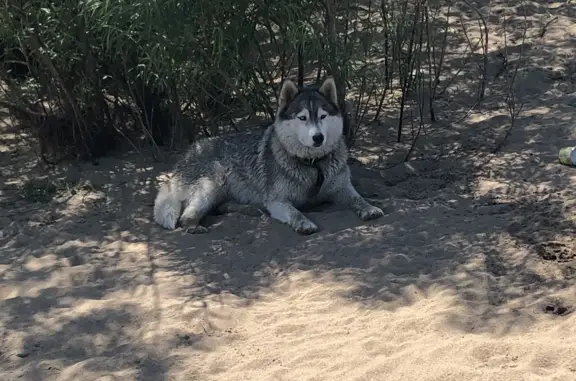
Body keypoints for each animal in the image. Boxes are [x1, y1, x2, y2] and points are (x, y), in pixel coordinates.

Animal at [154, 76, 382, 235]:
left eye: (323, 116)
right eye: (302, 118)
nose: (318, 137)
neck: (312, 164)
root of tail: (189, 153)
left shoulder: (342, 188)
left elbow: (358, 199)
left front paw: (369, 208)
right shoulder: (278, 201)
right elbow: (295, 212)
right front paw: (304, 223)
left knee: (220, 208)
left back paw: (250, 210)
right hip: (211, 185)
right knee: (186, 215)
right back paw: (193, 226)